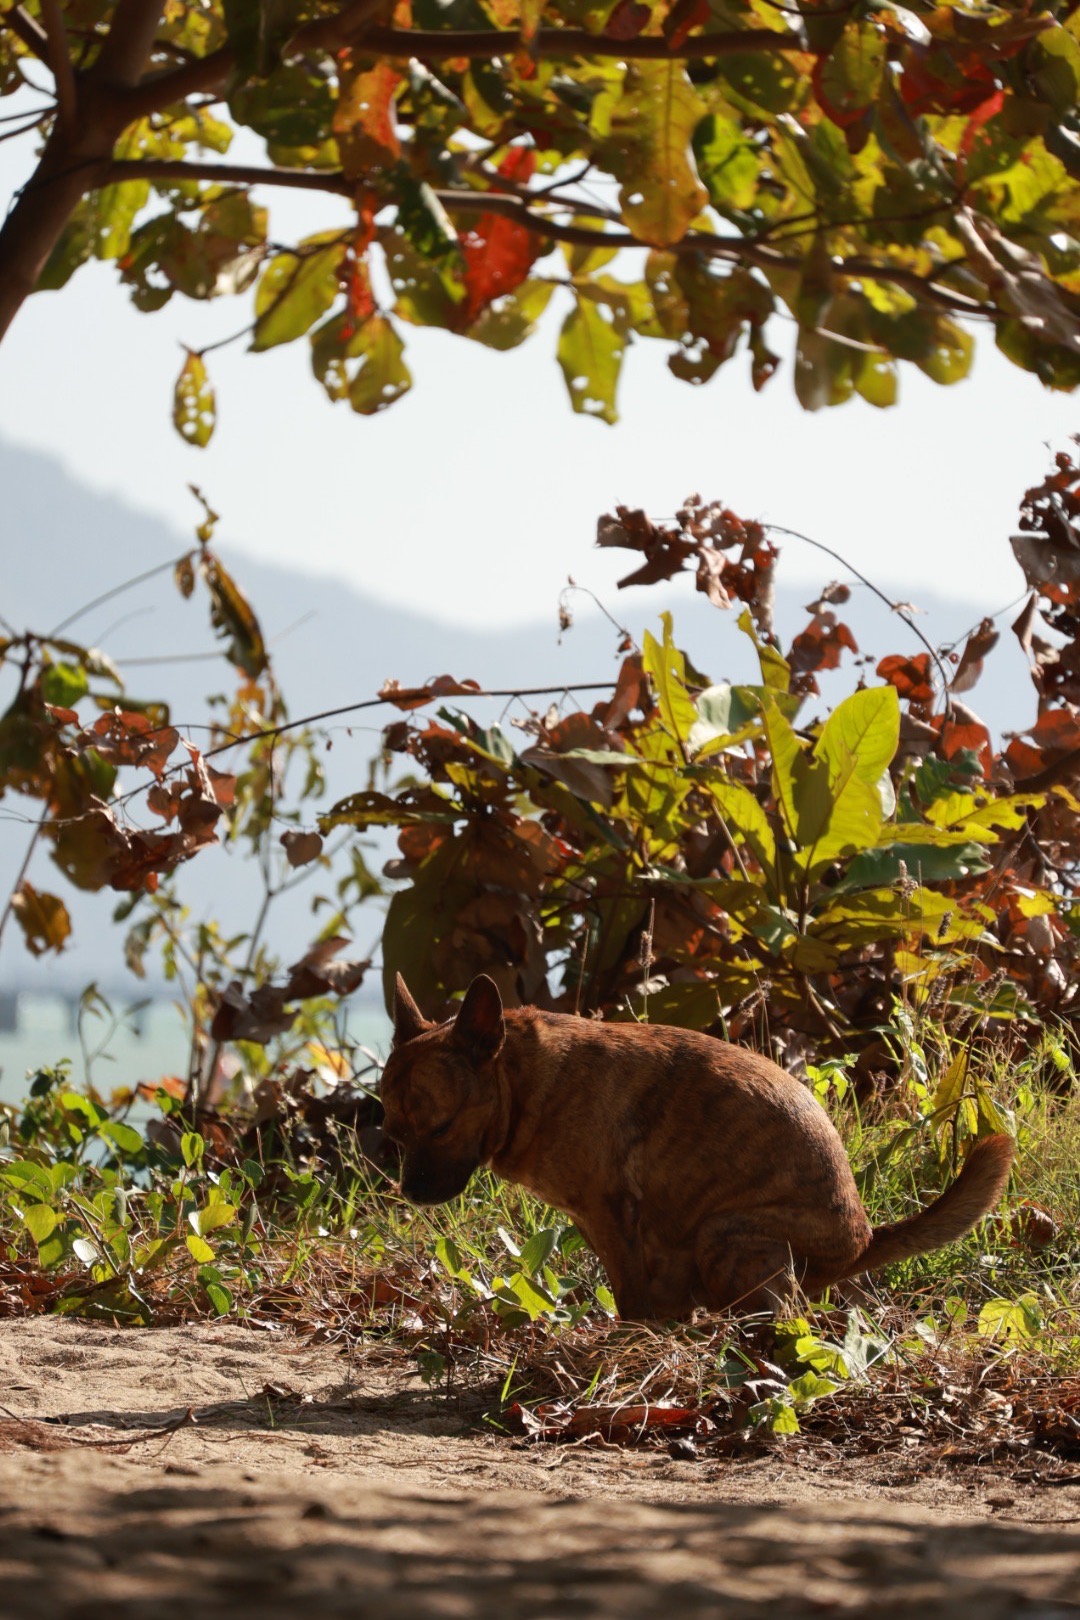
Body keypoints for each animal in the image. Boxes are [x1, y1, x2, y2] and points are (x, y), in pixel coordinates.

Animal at [383, 972, 1016, 1315]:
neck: (525, 1079)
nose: (411, 1193)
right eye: (393, 1133)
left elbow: (631, 1299)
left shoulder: (612, 1216)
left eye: (440, 1128)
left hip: (724, 1235)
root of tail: (862, 1240)